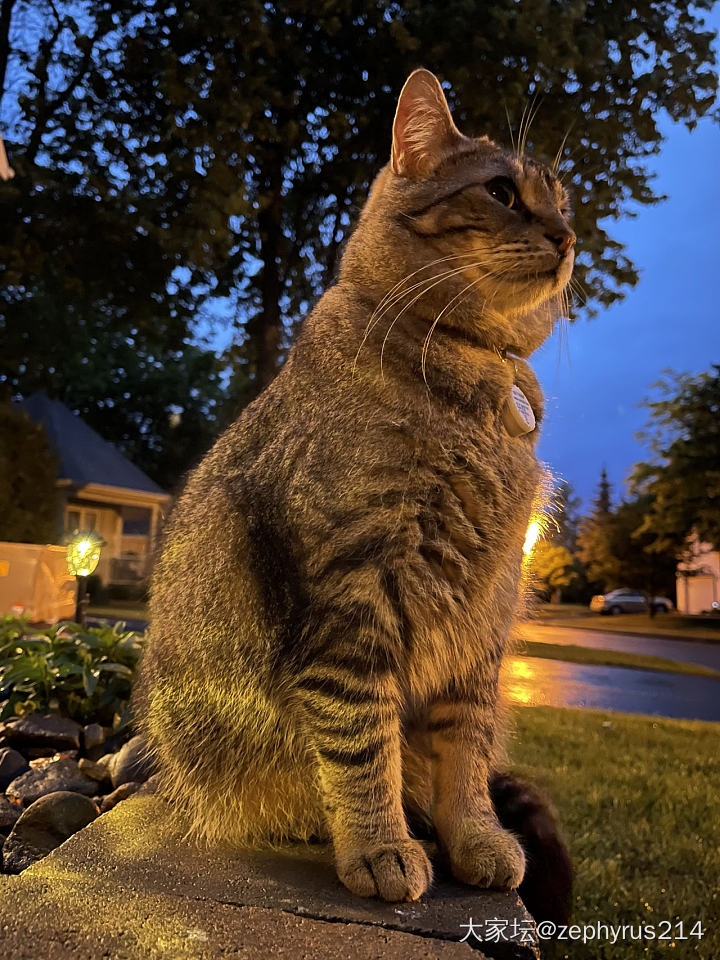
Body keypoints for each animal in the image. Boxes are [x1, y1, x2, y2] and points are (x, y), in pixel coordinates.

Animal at [134, 65, 572, 900]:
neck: (475, 373)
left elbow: (466, 753)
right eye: (501, 192)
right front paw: (380, 845)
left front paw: (475, 837)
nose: (568, 237)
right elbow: (364, 740)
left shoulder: (484, 614)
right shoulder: (353, 596)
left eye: (562, 199)